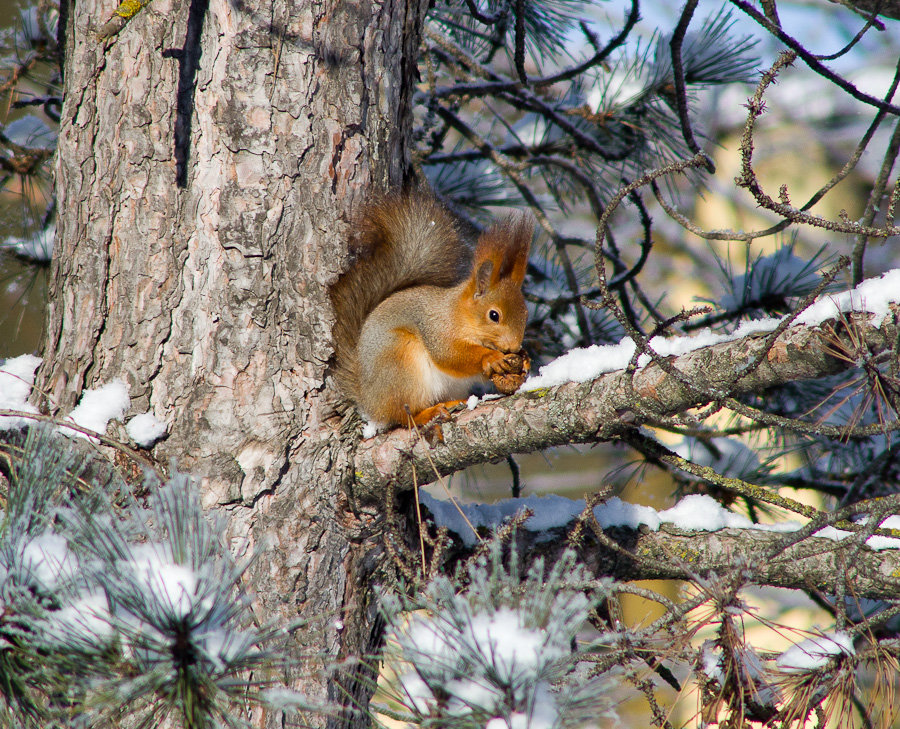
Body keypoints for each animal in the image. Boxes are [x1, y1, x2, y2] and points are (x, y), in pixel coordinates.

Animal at [330, 192, 533, 428]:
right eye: (494, 315)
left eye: (526, 314)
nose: (514, 346)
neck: (458, 313)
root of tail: (368, 399)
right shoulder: (436, 327)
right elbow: (450, 355)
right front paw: (491, 357)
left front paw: (524, 359)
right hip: (400, 362)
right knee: (403, 415)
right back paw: (429, 413)